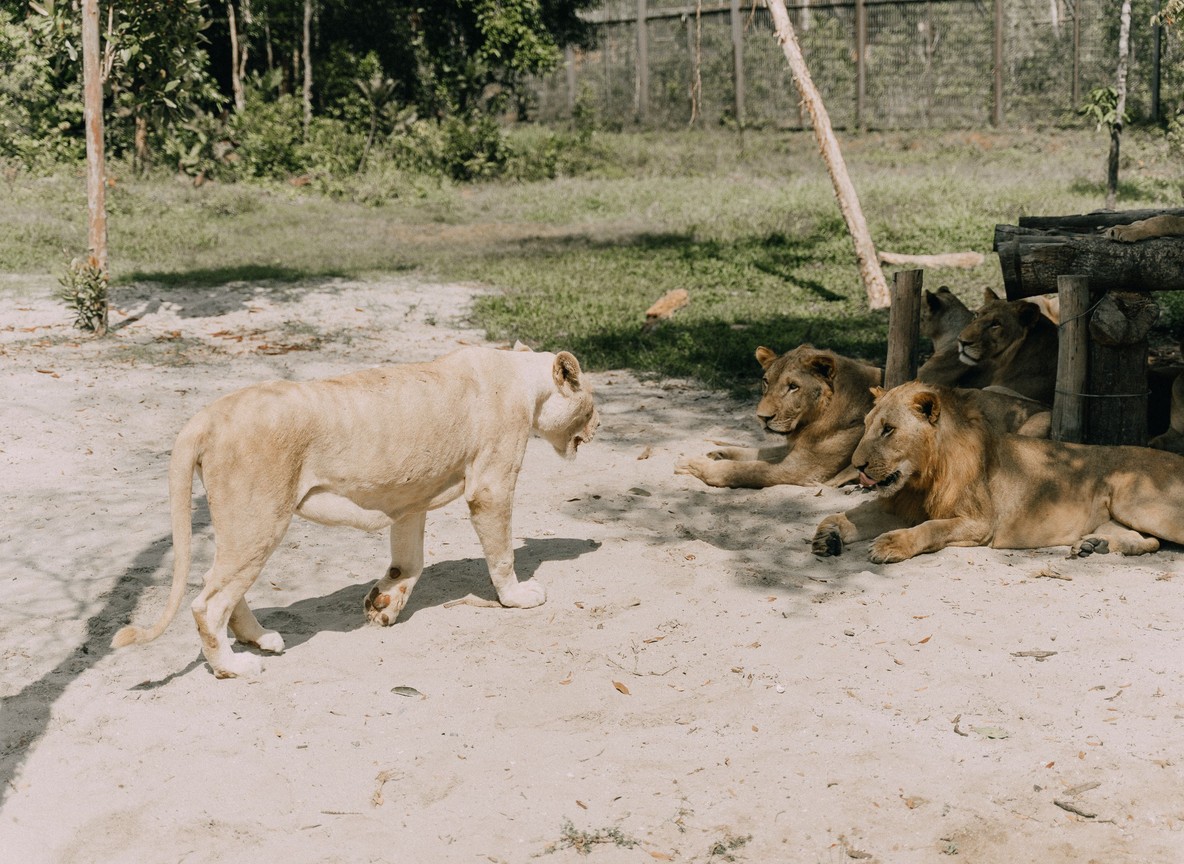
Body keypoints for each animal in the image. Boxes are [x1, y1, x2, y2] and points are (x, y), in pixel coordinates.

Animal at [112, 345, 599, 679]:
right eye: (592, 401)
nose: (599, 424)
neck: (523, 380)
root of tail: (205, 417)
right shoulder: (491, 486)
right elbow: (501, 555)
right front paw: (517, 597)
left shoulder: (410, 497)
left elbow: (410, 561)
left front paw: (382, 605)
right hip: (259, 519)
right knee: (207, 602)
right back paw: (233, 666)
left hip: (241, 524)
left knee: (223, 587)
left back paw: (260, 639)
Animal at [674, 345, 881, 488]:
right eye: (766, 381)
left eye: (793, 387)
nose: (762, 417)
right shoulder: (795, 449)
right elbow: (757, 452)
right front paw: (719, 453)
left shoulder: (802, 468)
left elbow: (743, 469)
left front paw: (692, 463)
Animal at [812, 381, 1184, 564]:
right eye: (867, 426)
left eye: (889, 429)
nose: (858, 466)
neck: (923, 476)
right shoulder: (903, 505)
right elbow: (854, 514)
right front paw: (830, 534)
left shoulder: (980, 522)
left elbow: (931, 529)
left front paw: (892, 544)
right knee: (1149, 542)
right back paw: (1095, 546)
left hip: (1136, 502)